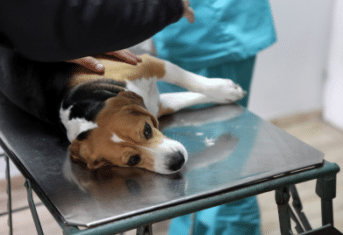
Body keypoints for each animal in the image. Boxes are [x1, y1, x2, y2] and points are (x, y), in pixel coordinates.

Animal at [60, 54, 246, 173]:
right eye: (133, 160)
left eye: (147, 130)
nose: (177, 161)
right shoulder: (157, 105)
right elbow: (183, 96)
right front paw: (227, 93)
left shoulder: (147, 63)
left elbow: (187, 80)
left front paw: (225, 89)